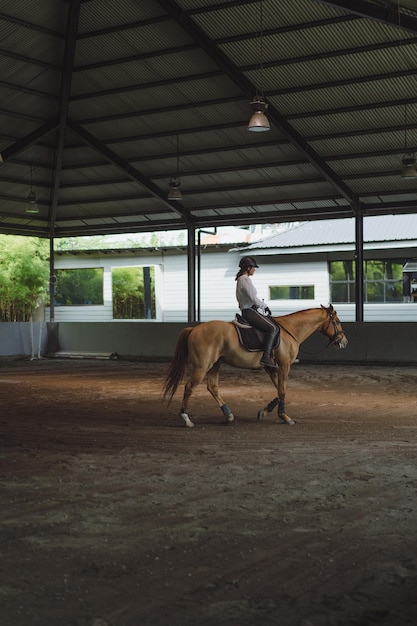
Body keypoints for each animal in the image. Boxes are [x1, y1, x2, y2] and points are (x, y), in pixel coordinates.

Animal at [164, 302, 346, 424]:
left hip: (214, 365)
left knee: (212, 388)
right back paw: (186, 418)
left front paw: (264, 412)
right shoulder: (284, 365)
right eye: (337, 321)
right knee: (189, 387)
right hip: (202, 366)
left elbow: (280, 389)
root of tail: (194, 329)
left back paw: (228, 415)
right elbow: (283, 390)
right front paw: (285, 417)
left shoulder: (271, 368)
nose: (344, 342)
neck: (290, 330)